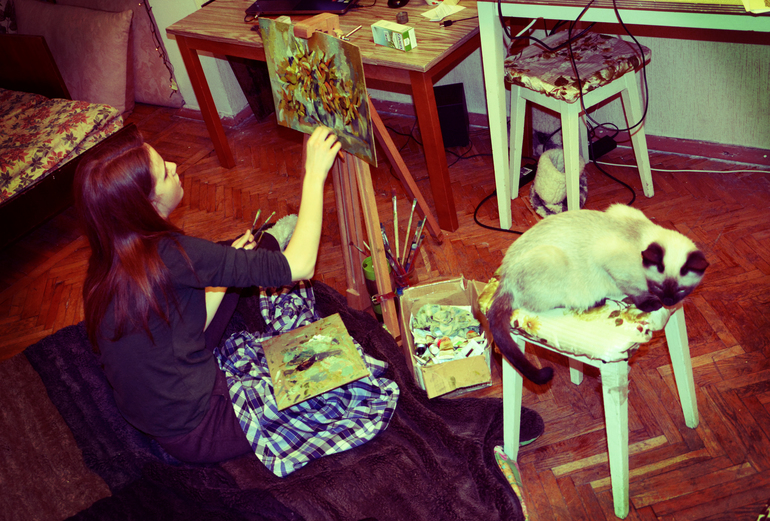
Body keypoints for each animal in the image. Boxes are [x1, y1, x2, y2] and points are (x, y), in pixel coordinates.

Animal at [487, 204, 709, 384]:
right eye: (660, 287)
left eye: (681, 290)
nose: (669, 301)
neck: (639, 235)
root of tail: (504, 277)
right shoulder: (610, 258)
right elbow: (634, 290)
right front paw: (649, 302)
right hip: (551, 258)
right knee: (545, 304)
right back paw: (594, 301)